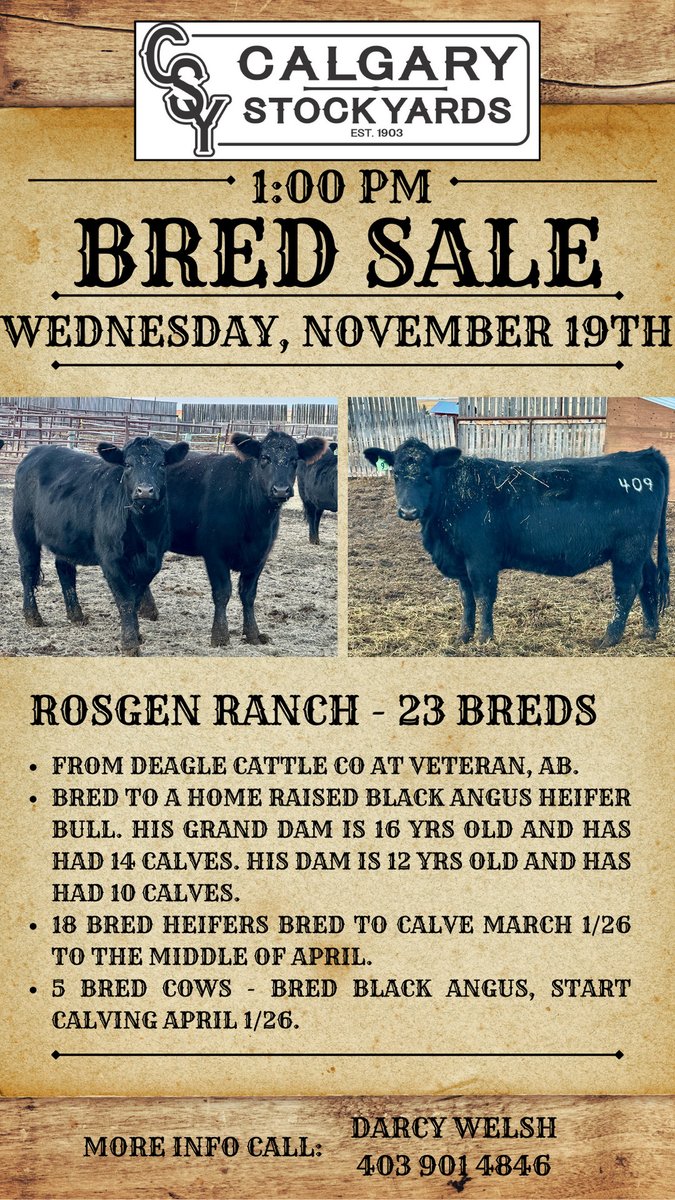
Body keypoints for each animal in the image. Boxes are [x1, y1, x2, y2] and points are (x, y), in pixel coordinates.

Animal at [12, 436, 189, 654]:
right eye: (128, 465)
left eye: (162, 464)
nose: (145, 491)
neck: (144, 535)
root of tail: (36, 451)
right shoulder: (111, 561)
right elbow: (126, 600)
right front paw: (130, 643)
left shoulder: (153, 562)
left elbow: (136, 598)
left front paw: (137, 634)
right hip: (24, 531)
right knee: (28, 570)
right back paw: (33, 616)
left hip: (65, 537)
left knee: (65, 570)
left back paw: (76, 615)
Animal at [142, 430, 328, 647]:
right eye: (264, 458)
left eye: (294, 460)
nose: (281, 489)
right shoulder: (215, 553)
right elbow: (223, 593)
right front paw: (220, 635)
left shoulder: (260, 556)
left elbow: (248, 595)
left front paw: (253, 634)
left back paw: (148, 610)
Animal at [363, 440, 670, 648]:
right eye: (395, 474)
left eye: (427, 475)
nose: (408, 511)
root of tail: (644, 455)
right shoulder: (460, 561)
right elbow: (466, 599)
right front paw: (463, 636)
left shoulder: (481, 558)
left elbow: (483, 596)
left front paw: (484, 638)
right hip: (640, 550)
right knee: (648, 580)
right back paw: (649, 632)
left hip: (629, 549)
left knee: (627, 588)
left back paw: (609, 638)